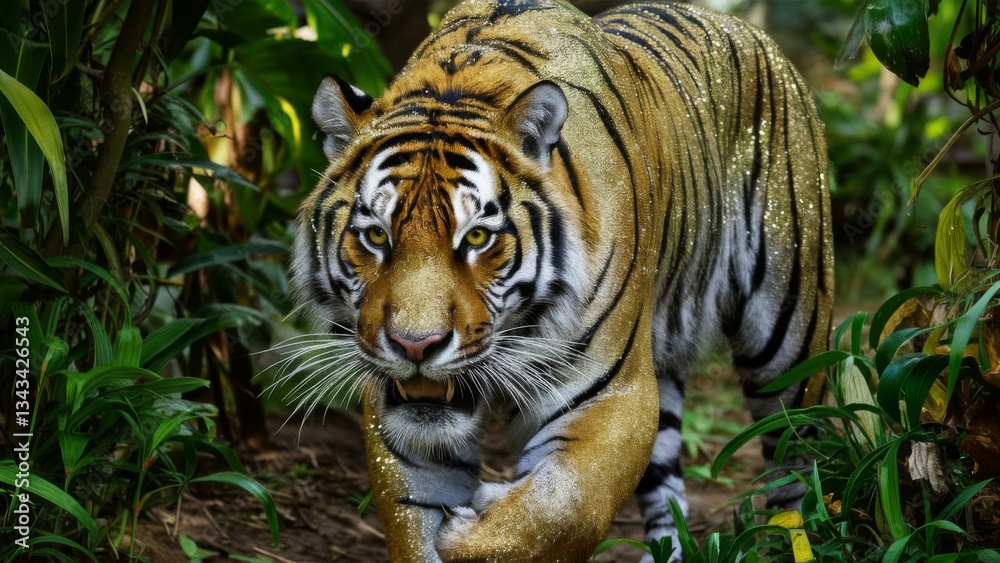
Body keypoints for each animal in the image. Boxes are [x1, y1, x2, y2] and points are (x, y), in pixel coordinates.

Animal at [289, 0, 833, 560]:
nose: (415, 346)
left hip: (788, 338)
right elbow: (414, 520)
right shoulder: (398, 416)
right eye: (376, 235)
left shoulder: (614, 394)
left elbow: (564, 507)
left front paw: (474, 525)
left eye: (478, 236)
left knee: (798, 449)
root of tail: (752, 33)